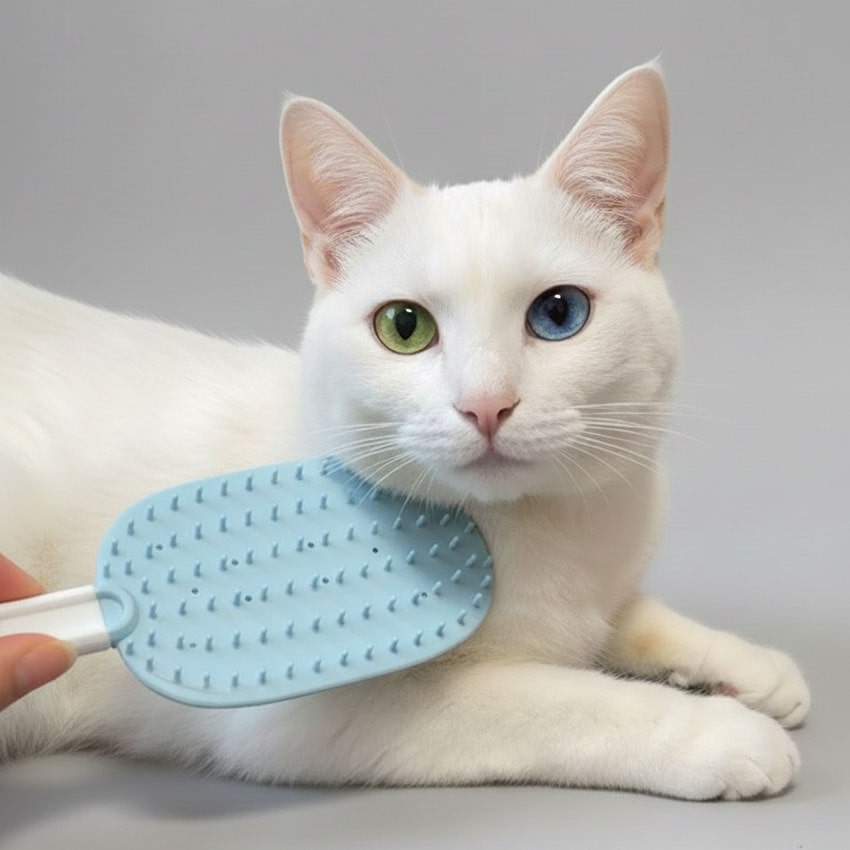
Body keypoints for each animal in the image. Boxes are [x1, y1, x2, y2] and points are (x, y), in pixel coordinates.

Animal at [0, 61, 810, 800]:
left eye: (559, 314)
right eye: (404, 326)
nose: (487, 405)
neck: (540, 537)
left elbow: (632, 616)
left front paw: (746, 666)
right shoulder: (319, 714)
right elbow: (565, 699)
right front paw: (718, 734)